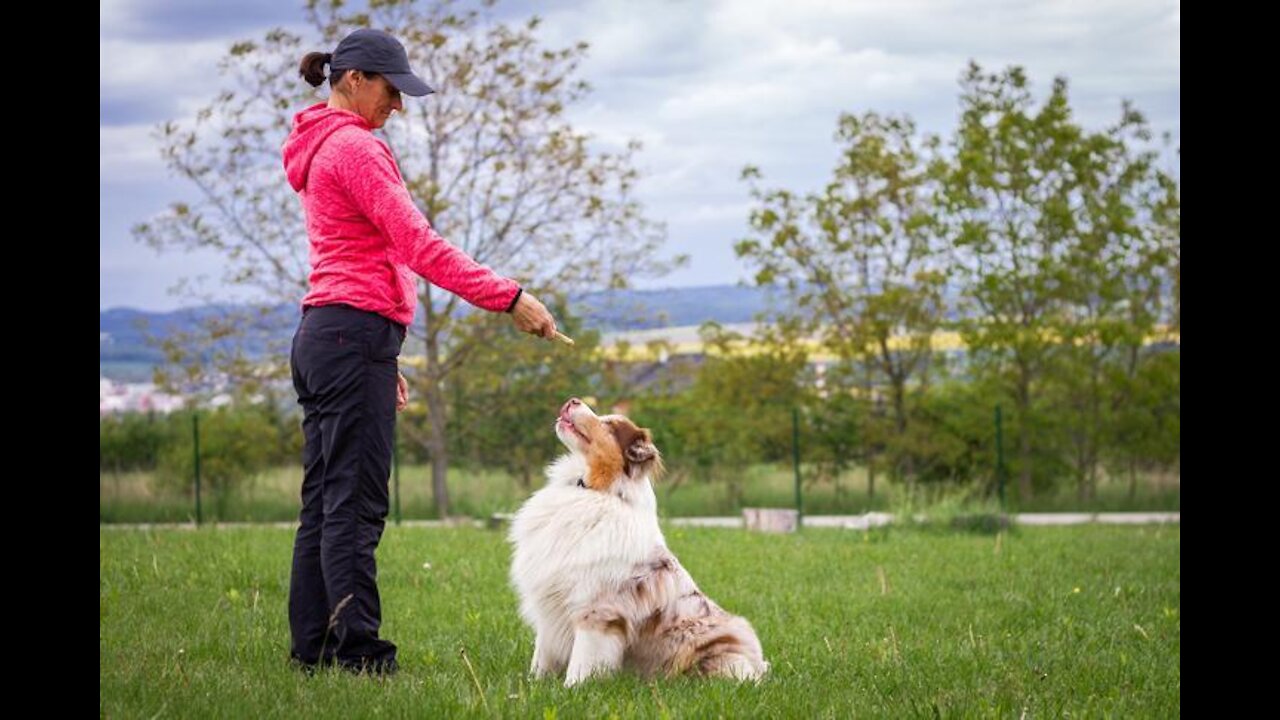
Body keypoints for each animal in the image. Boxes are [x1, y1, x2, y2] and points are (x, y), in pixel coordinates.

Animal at [509, 397, 768, 681]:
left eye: (609, 425)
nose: (572, 400)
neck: (597, 491)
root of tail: (760, 665)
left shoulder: (596, 611)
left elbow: (582, 662)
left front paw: (572, 687)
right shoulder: (550, 605)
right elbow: (542, 657)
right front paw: (533, 684)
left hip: (722, 655)